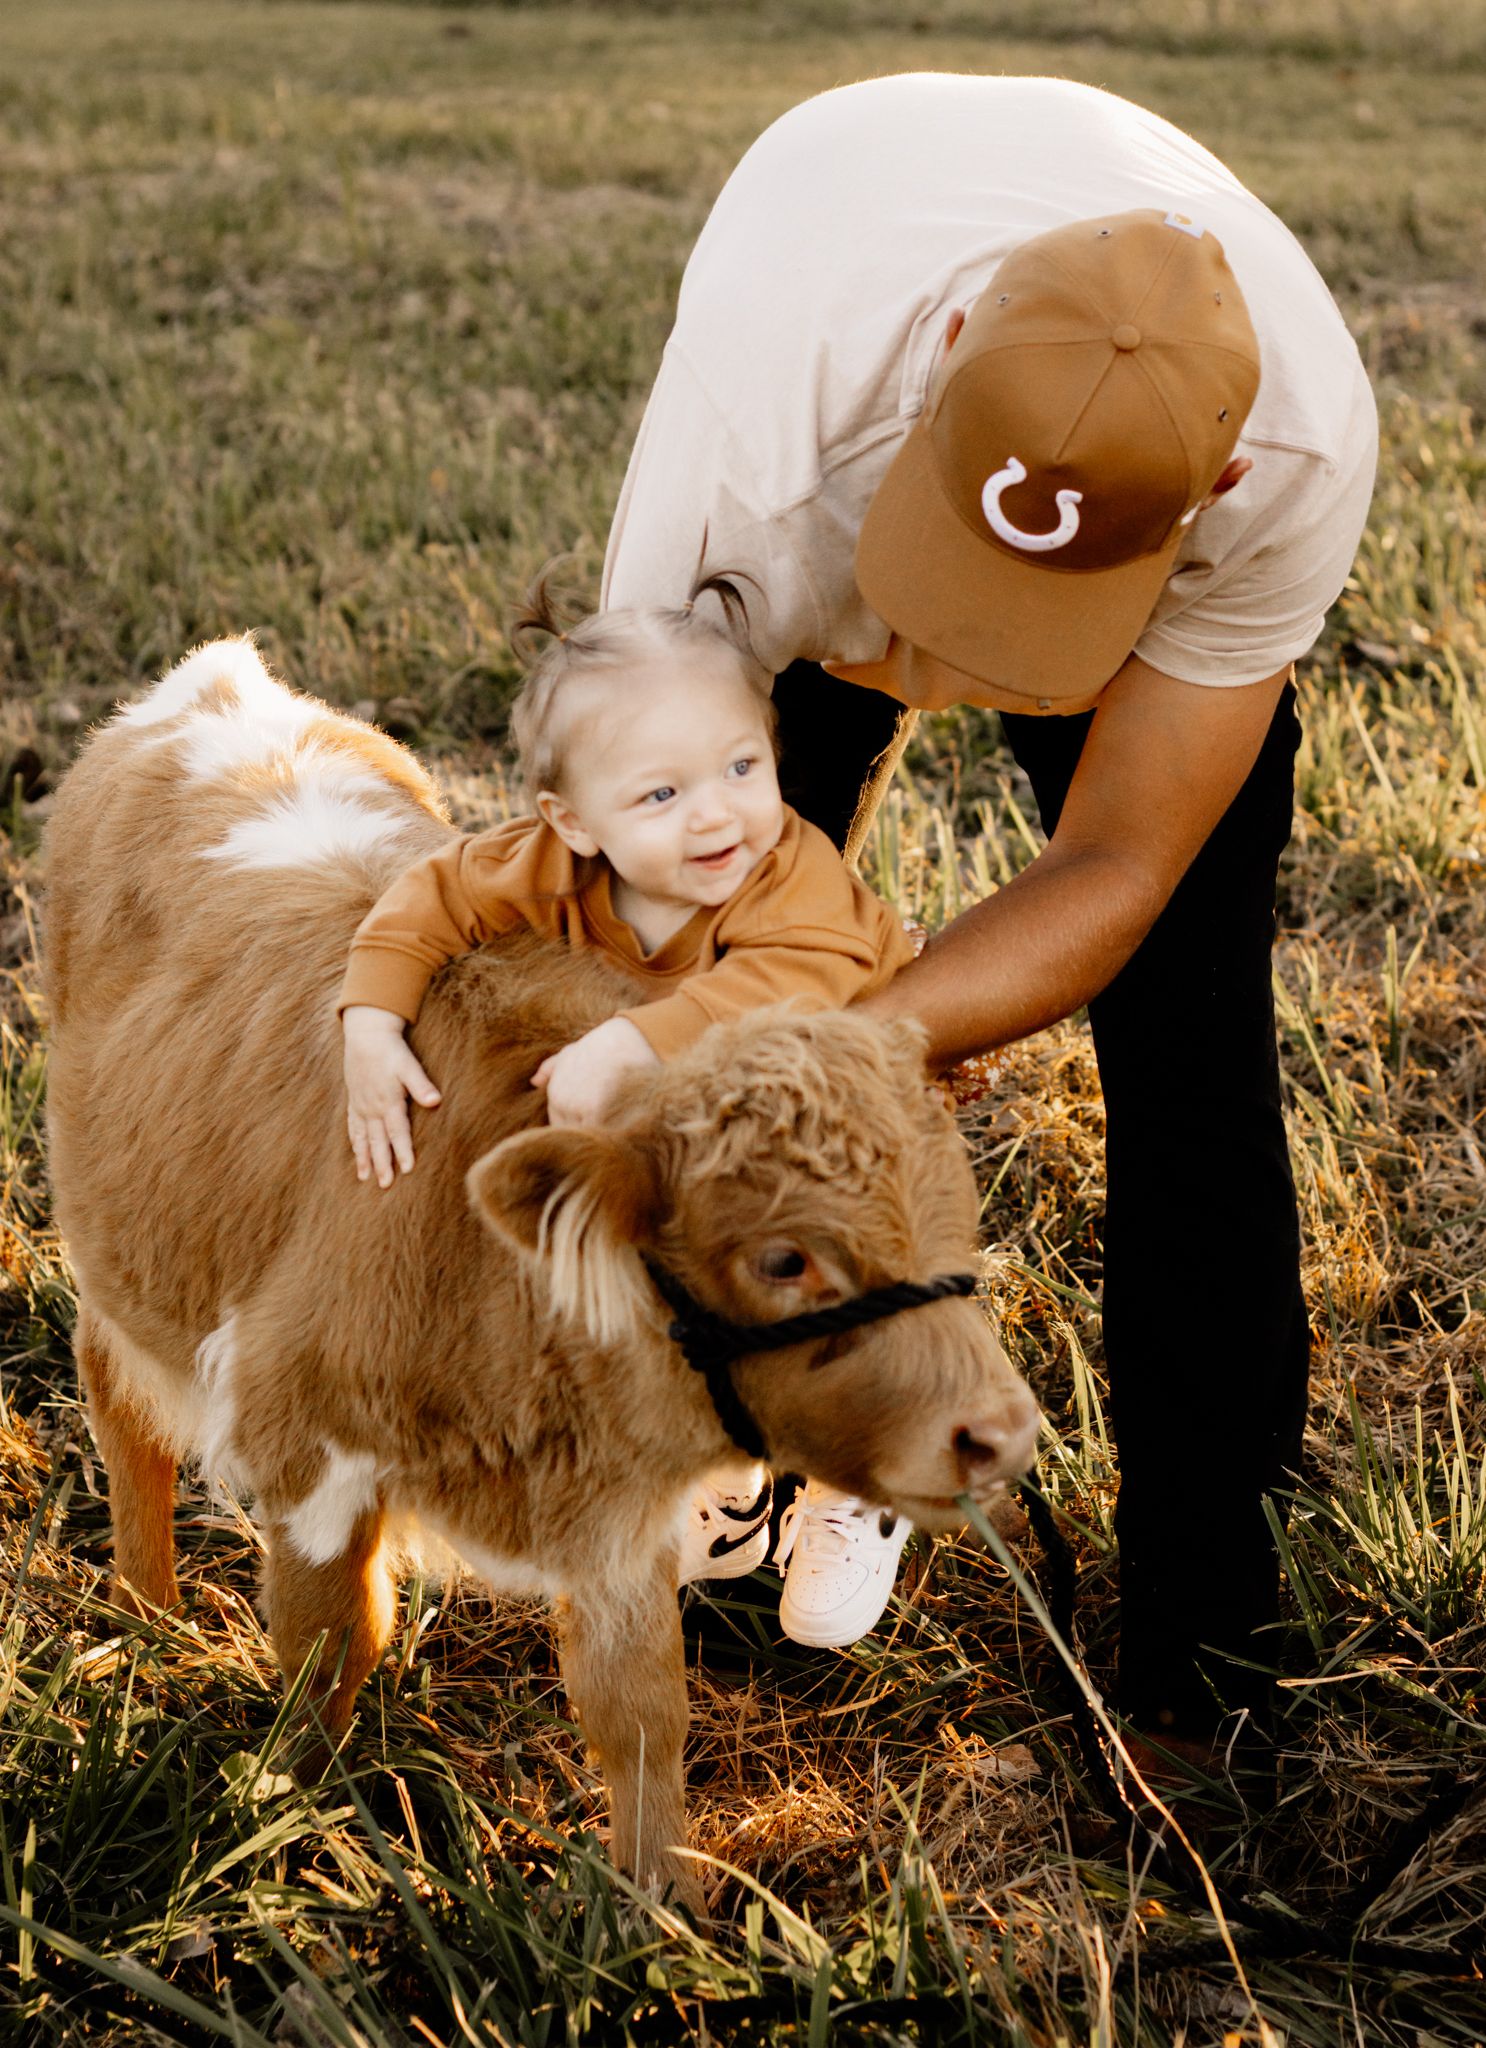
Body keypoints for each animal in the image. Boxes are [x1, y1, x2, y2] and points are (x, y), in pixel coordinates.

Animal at [42, 639, 1041, 1907]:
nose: (996, 1432)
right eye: (783, 1256)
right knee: (120, 1398)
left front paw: (660, 1906)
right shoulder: (303, 1436)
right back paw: (147, 1610)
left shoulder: (617, 1522)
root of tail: (217, 682)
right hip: (119, 1254)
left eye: (958, 1216)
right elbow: (330, 1644)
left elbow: (641, 1710)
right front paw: (292, 1811)